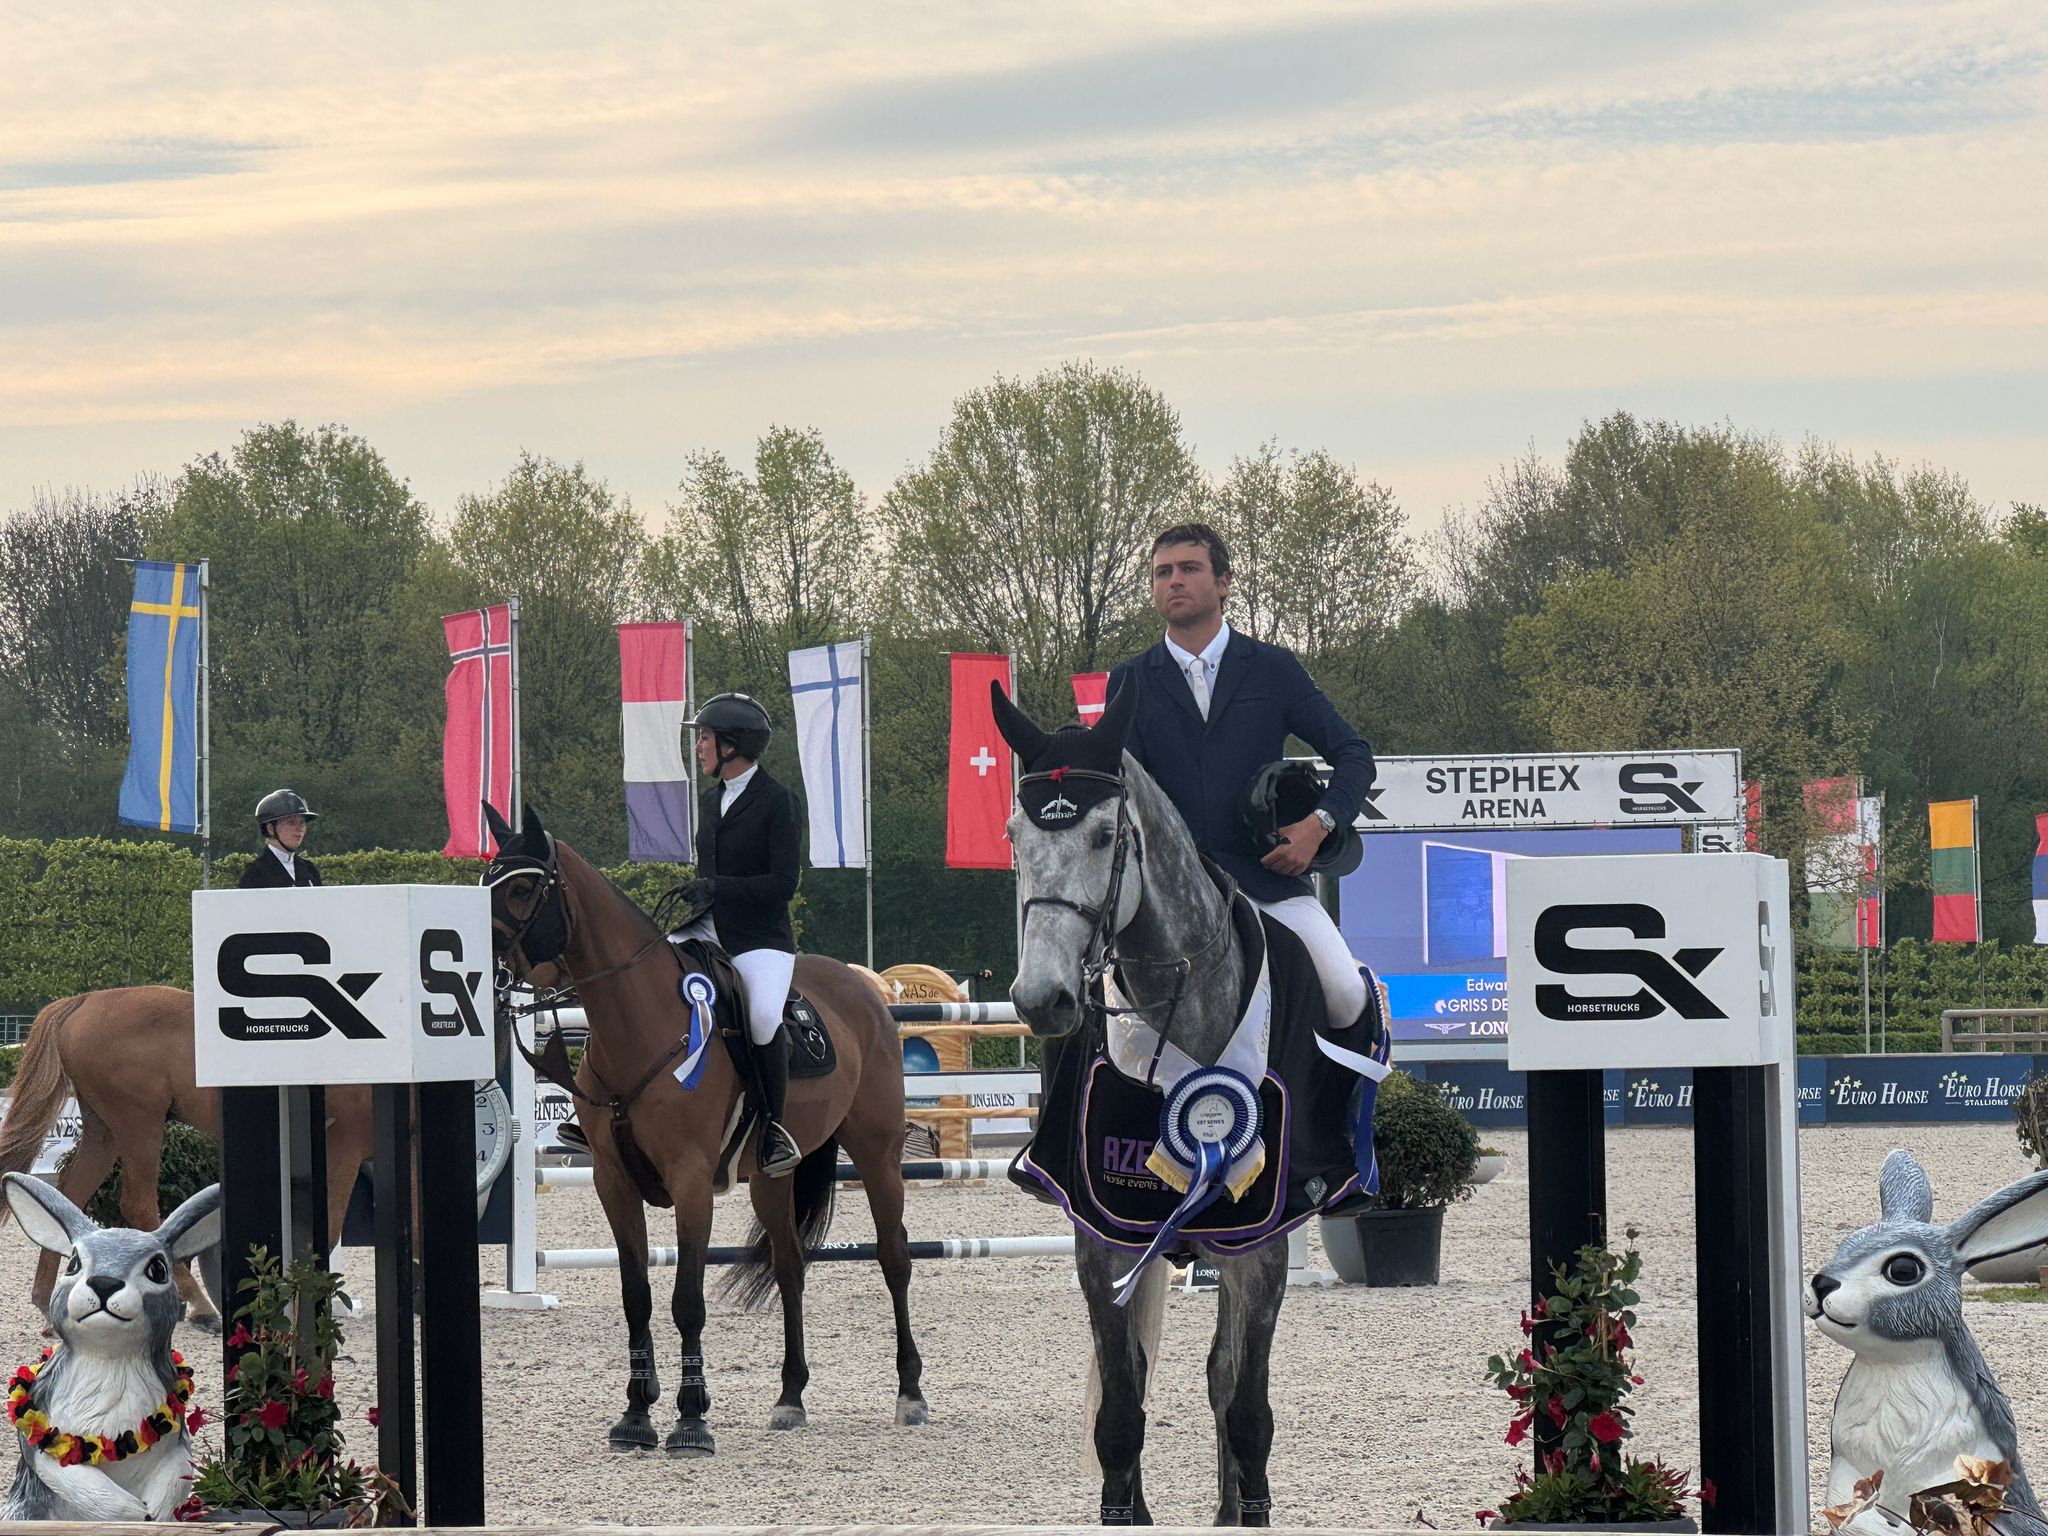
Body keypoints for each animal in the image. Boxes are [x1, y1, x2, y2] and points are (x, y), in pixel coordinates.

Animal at [0, 986, 374, 1327]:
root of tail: (87, 999)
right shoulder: (347, 1142)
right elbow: (330, 1228)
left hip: (103, 1130)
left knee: (71, 1194)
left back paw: (48, 1305)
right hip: (140, 1124)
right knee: (139, 1205)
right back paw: (200, 1304)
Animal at [479, 801, 926, 1454]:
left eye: (520, 887)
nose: (470, 964)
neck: (639, 1021)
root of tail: (862, 987)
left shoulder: (690, 1181)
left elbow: (686, 1298)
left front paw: (691, 1419)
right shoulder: (612, 1183)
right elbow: (636, 1296)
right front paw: (636, 1414)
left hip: (877, 1153)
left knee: (895, 1257)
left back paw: (910, 1393)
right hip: (771, 1178)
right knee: (791, 1266)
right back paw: (790, 1397)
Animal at [995, 679, 1365, 1528]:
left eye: (1105, 835)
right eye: (1013, 836)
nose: (1042, 999)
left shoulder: (1259, 1244)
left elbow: (1246, 1409)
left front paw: (1247, 1506)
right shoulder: (1101, 1242)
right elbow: (1120, 1416)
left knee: (1225, 1380)